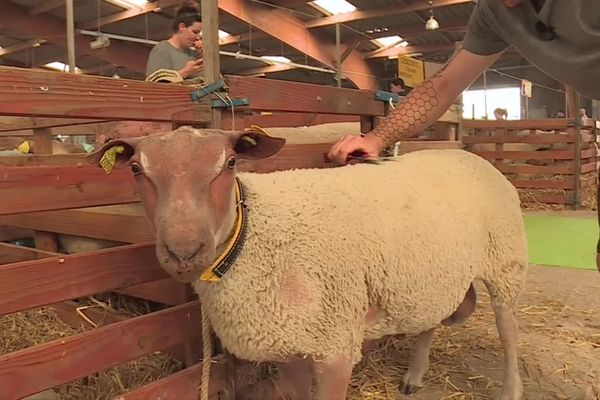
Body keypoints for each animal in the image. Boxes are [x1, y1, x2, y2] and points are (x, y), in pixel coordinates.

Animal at [86, 126, 528, 398]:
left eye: (230, 163)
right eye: (136, 168)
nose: (184, 251)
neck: (253, 235)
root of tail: (467, 154)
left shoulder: (336, 346)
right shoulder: (289, 344)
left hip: (506, 262)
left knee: (508, 330)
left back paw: (511, 389)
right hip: (427, 276)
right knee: (431, 320)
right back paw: (414, 377)